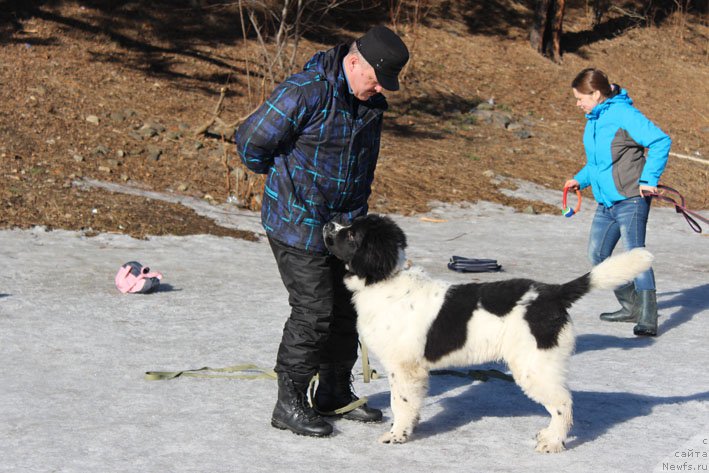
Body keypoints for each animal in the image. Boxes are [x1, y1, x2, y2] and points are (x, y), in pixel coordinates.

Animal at [322, 214, 652, 450]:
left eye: (352, 234)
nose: (327, 222)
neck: (384, 280)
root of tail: (553, 293)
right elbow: (412, 403)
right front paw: (410, 428)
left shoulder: (404, 367)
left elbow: (400, 402)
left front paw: (397, 435)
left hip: (533, 365)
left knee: (563, 403)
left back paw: (552, 442)